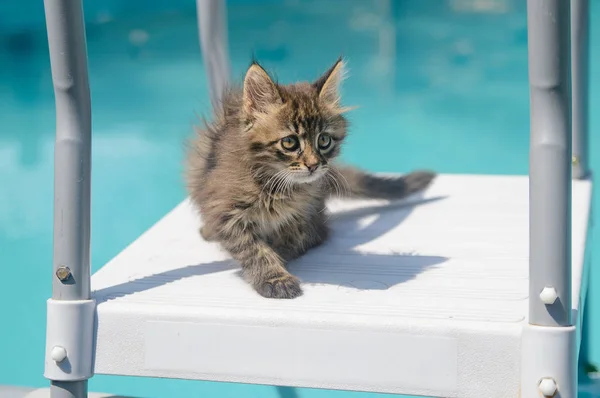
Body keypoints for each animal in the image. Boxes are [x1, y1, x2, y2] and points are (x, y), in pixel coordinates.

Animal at [185, 56, 434, 298]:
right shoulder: (225, 210)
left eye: (324, 140)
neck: (276, 187)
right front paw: (274, 278)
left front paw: (280, 256)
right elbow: (252, 248)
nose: (314, 165)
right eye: (289, 142)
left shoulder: (308, 215)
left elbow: (293, 240)